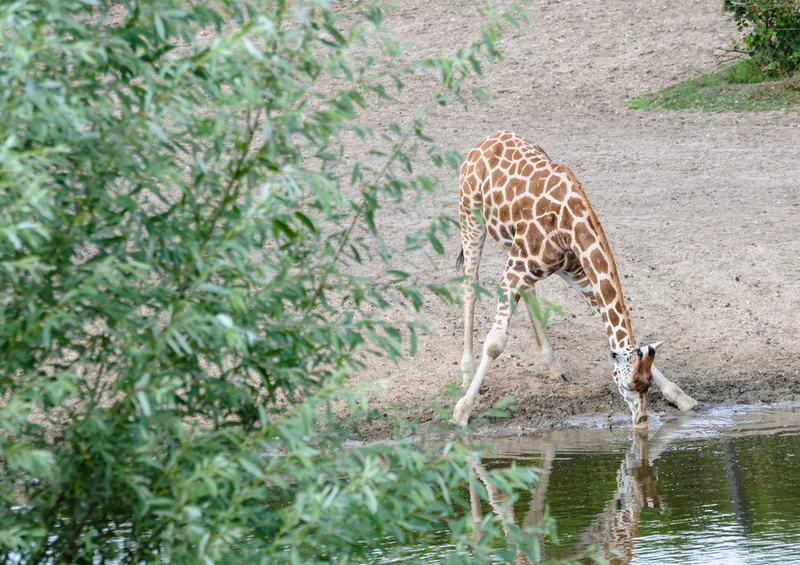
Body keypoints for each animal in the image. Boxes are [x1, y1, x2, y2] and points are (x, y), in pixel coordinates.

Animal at [453, 130, 696, 429]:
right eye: (626, 386)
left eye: (647, 383)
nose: (641, 423)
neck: (570, 225)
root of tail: (485, 141)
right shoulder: (515, 270)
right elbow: (495, 343)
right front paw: (462, 411)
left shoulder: (574, 271)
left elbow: (609, 324)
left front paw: (680, 396)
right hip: (471, 218)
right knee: (469, 285)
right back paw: (466, 371)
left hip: (515, 248)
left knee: (528, 290)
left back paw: (553, 366)